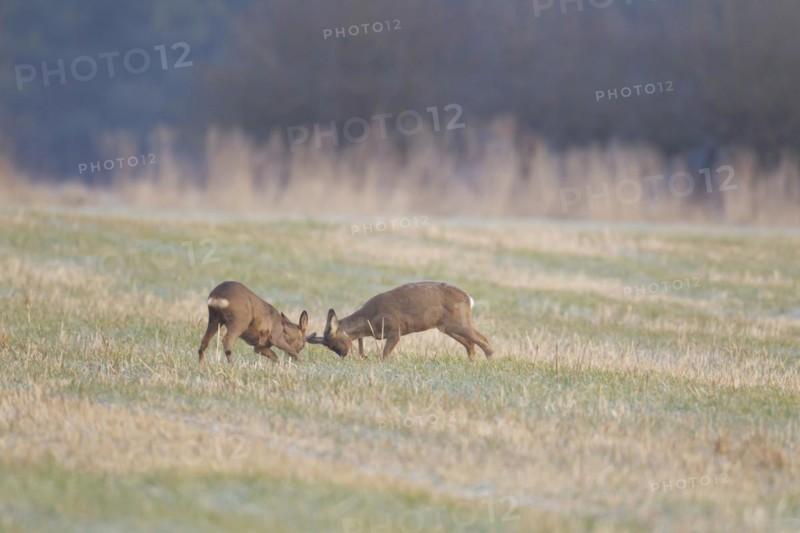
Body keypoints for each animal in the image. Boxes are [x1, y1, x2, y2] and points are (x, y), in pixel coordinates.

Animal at [306, 281, 493, 360]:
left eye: (333, 344)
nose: (343, 355)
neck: (368, 320)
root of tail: (468, 299)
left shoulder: (395, 331)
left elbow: (383, 355)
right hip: (446, 326)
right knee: (471, 344)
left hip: (457, 322)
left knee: (483, 339)